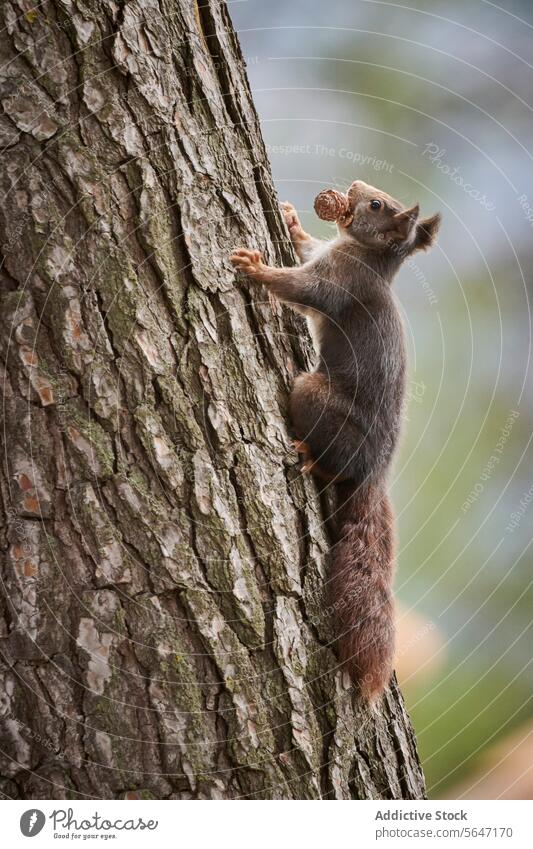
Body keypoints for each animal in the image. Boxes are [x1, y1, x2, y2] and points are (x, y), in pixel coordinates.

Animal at [229, 181, 440, 704]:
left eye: (377, 205)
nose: (355, 188)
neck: (367, 257)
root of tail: (375, 473)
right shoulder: (327, 257)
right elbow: (307, 250)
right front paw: (290, 220)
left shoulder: (339, 281)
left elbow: (303, 290)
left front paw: (256, 267)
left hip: (312, 395)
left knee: (332, 462)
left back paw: (311, 458)